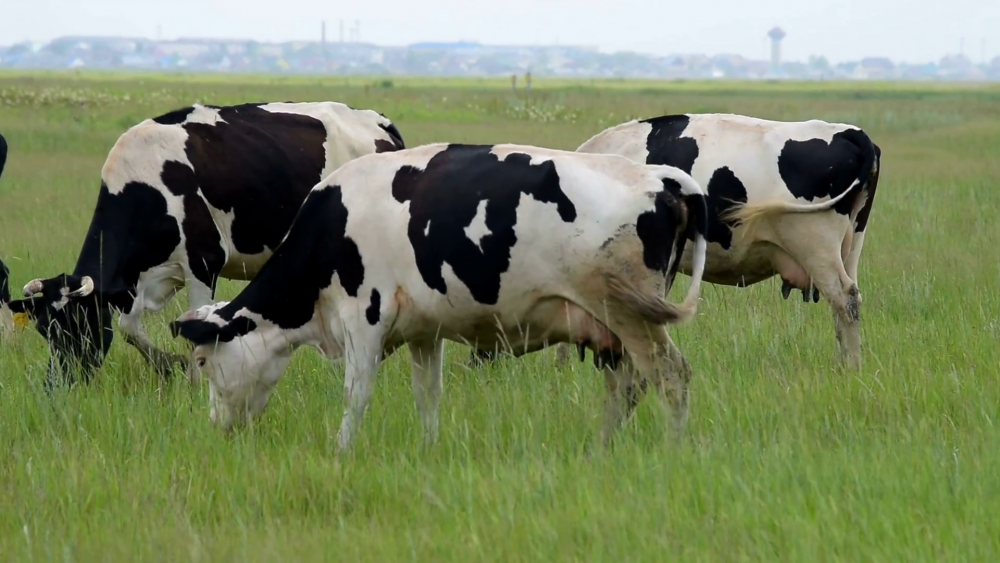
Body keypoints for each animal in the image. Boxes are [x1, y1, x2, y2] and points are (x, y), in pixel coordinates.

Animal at [7, 101, 406, 390]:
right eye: (44, 330)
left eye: (78, 326)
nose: (55, 386)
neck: (144, 183)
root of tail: (378, 119)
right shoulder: (140, 280)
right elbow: (129, 328)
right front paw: (169, 368)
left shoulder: (203, 262)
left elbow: (189, 324)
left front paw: (194, 381)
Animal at [166, 143, 712, 452]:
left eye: (202, 360)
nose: (215, 427)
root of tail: (660, 177)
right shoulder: (423, 332)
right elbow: (428, 395)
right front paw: (429, 449)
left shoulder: (364, 317)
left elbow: (356, 394)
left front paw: (341, 451)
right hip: (613, 329)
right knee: (626, 388)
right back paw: (602, 449)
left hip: (631, 315)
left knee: (671, 377)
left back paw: (673, 451)